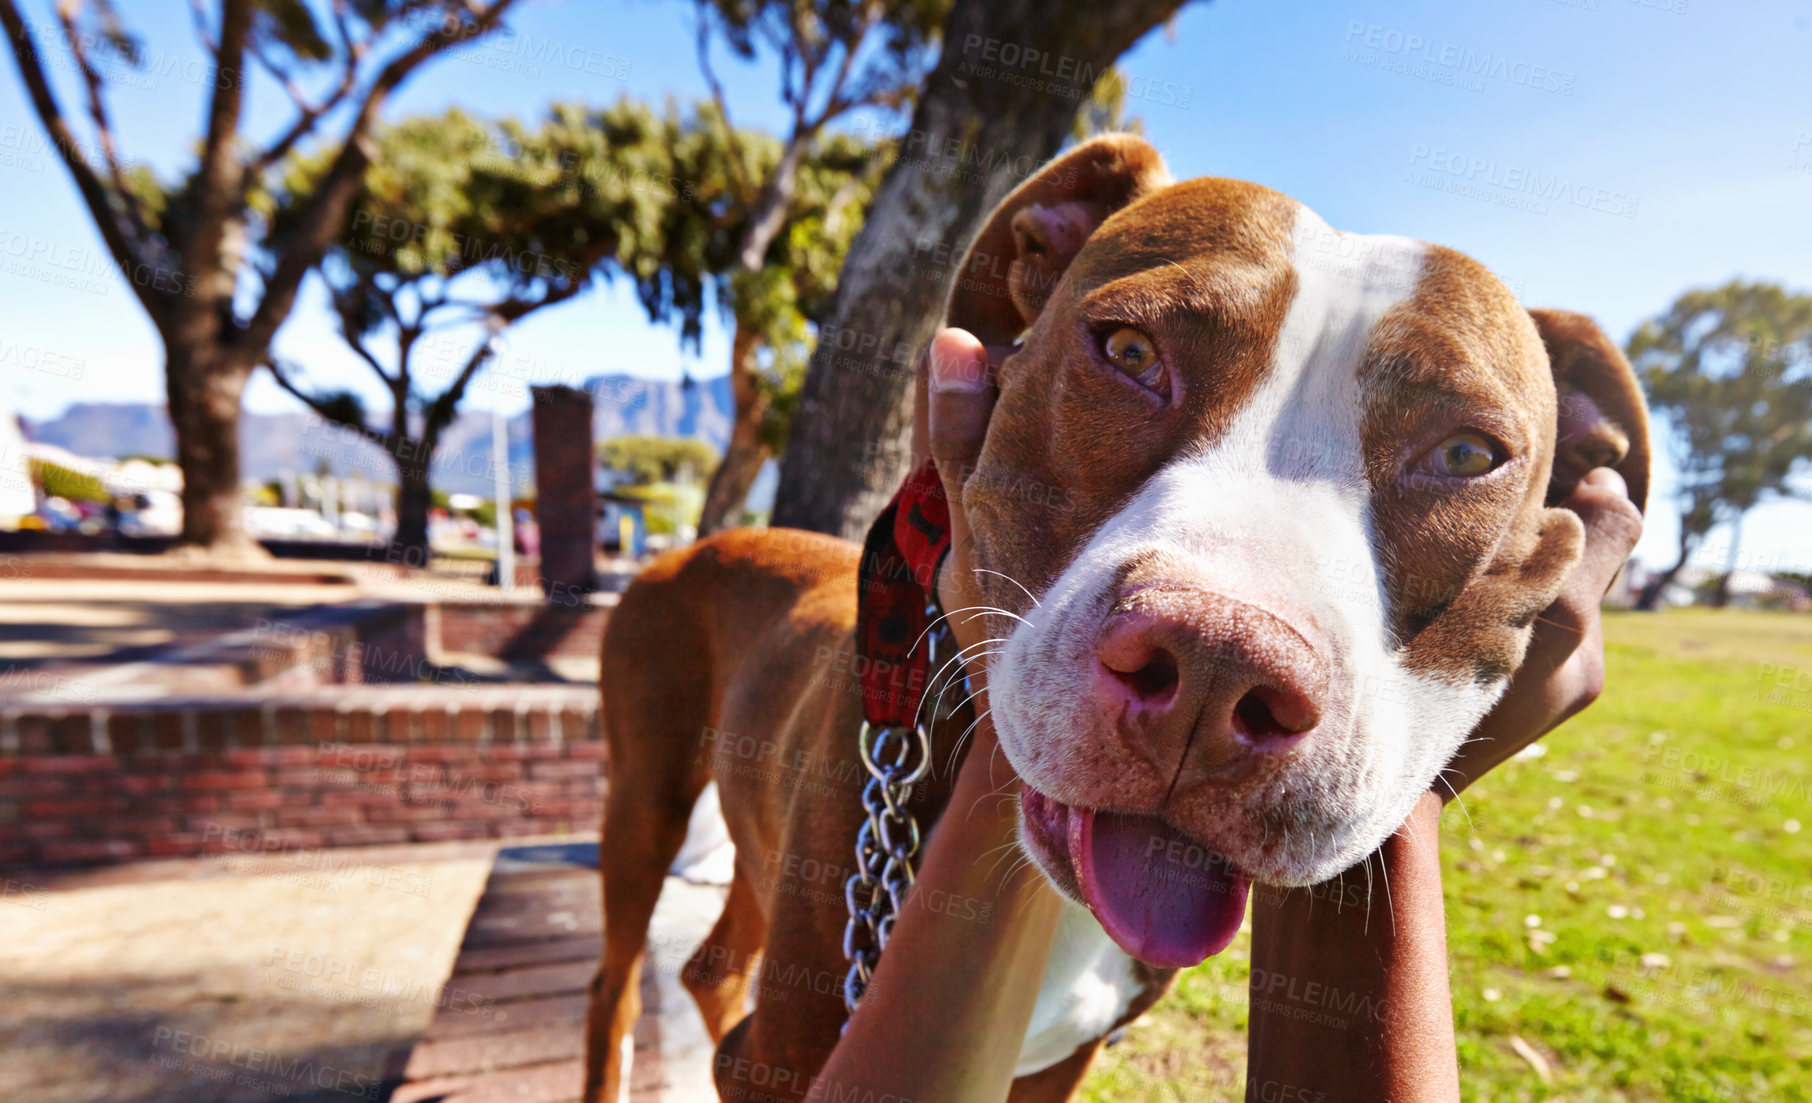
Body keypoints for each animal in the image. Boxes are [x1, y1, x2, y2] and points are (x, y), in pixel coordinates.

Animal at [576, 137, 1645, 1101]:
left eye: (1467, 452)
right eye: (1130, 351)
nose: (1215, 665)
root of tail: (694, 542)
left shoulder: (1060, 1064)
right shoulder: (787, 1053)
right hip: (642, 797)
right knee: (612, 978)